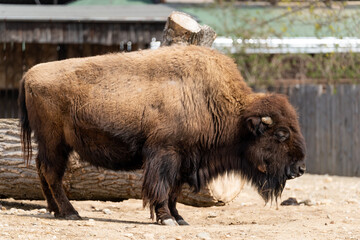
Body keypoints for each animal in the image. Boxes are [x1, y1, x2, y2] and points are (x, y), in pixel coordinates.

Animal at [19, 45, 306, 225]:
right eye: (281, 134)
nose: (300, 168)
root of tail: (30, 74)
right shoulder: (165, 153)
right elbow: (161, 186)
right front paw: (166, 218)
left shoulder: (185, 159)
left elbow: (175, 190)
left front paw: (179, 218)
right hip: (55, 142)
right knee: (52, 173)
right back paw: (70, 213)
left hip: (52, 144)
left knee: (42, 170)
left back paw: (56, 211)